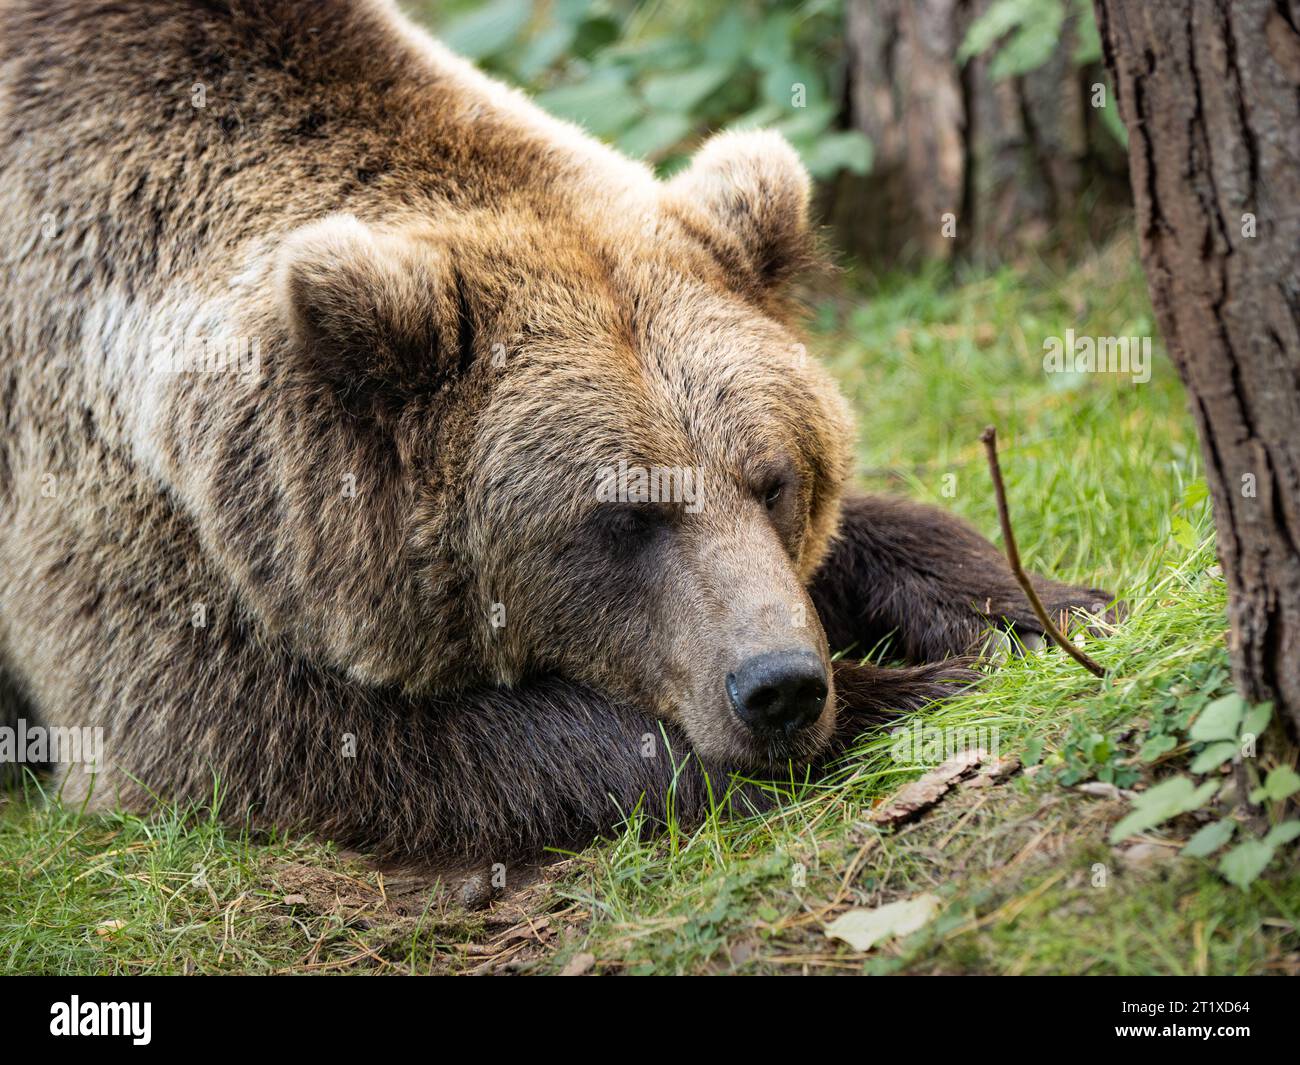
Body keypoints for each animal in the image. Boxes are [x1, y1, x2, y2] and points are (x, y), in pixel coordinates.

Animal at [0, 0, 1107, 858]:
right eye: (620, 516)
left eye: (776, 480)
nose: (782, 686)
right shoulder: (109, 513)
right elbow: (258, 735)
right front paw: (907, 688)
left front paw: (1039, 606)